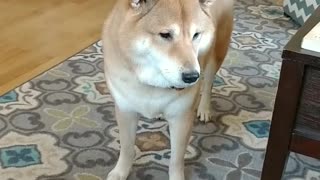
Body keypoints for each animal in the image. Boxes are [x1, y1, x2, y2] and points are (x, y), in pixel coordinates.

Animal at [103, 0, 235, 179]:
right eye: (165, 35)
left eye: (196, 35)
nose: (192, 77)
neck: (152, 84)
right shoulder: (125, 110)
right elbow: (127, 148)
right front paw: (120, 172)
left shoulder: (181, 118)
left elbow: (176, 159)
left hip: (217, 52)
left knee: (208, 83)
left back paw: (204, 108)